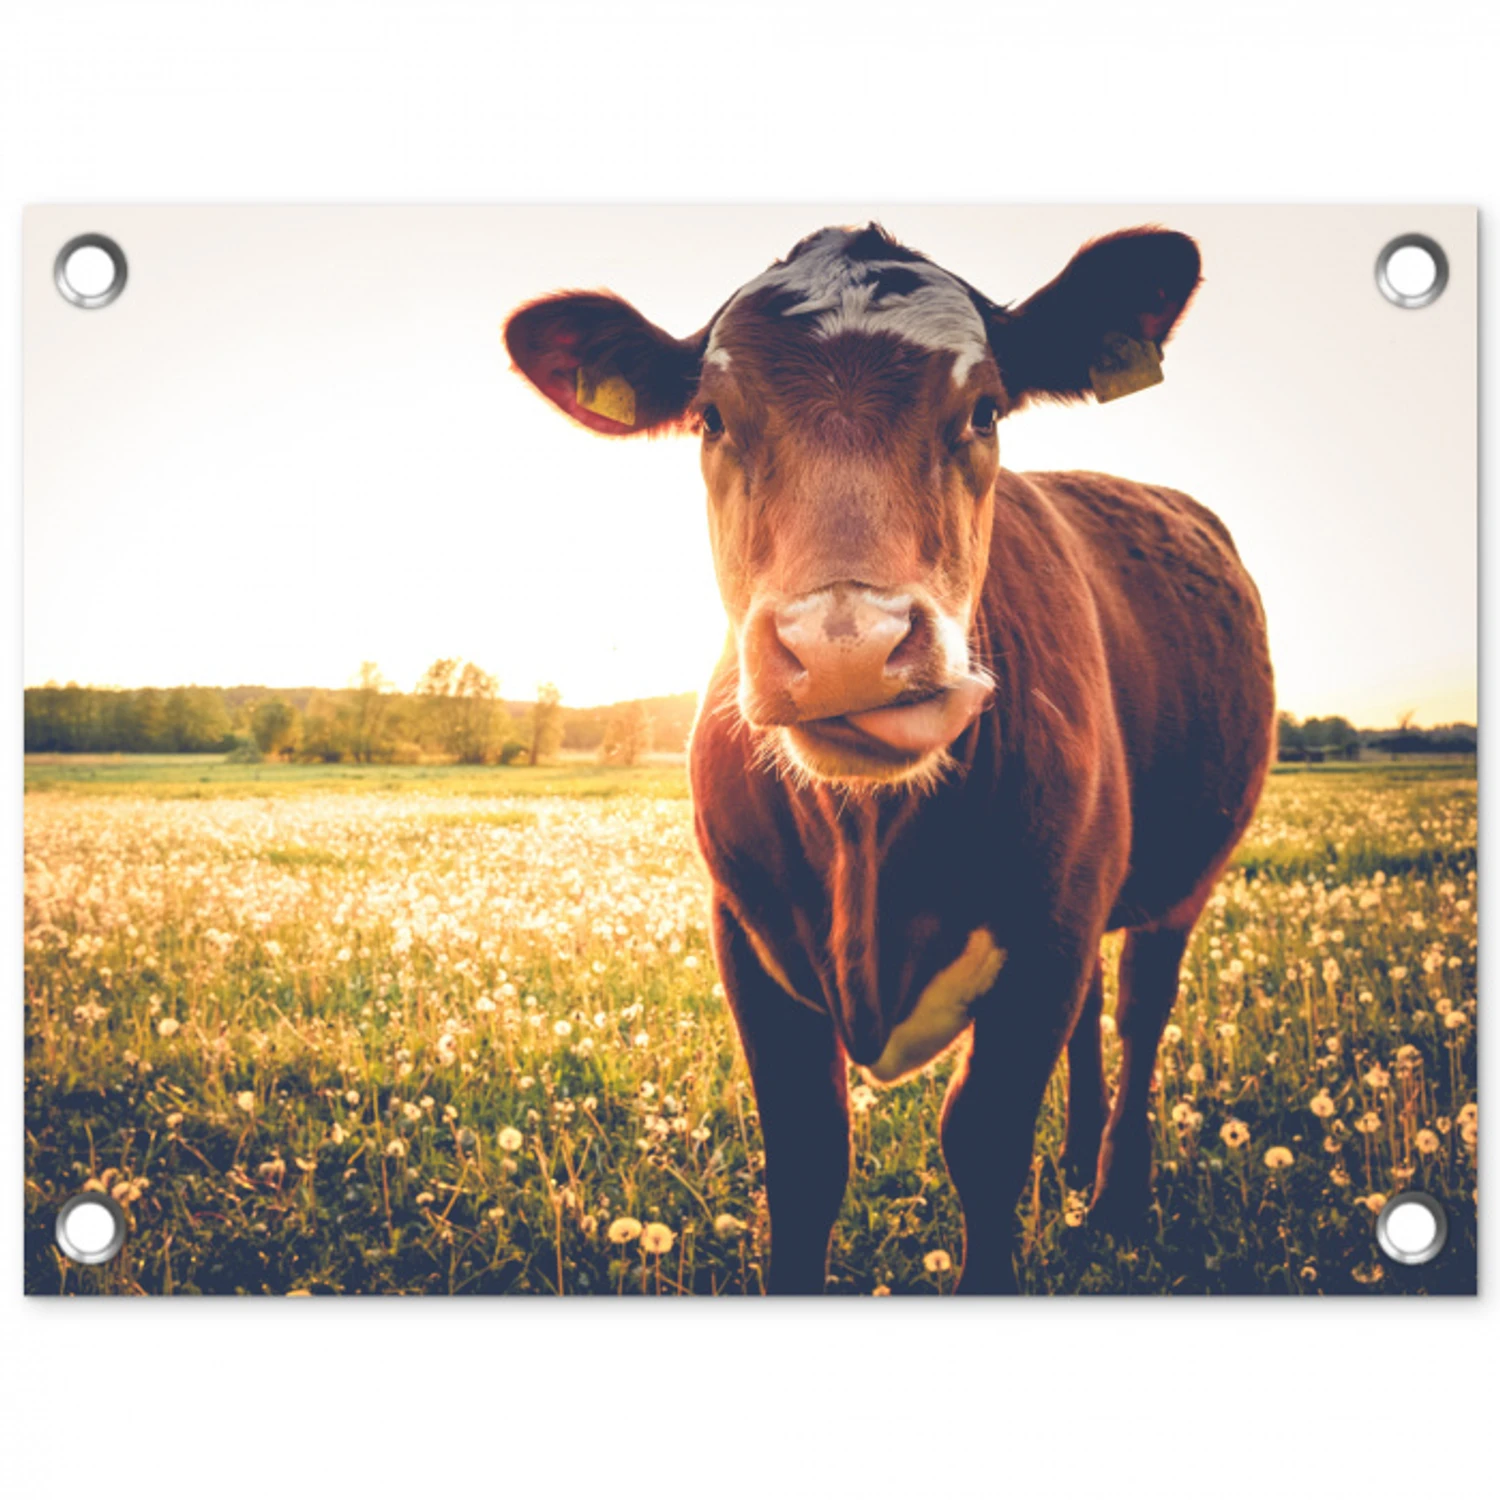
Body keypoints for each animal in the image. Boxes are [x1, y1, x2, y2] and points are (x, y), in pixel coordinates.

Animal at [504, 223, 1275, 1293]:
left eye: (985, 408)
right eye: (711, 418)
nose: (846, 646)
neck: (868, 841)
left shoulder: (1047, 937)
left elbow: (983, 1142)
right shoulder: (746, 938)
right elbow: (807, 1155)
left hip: (1177, 882)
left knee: (1139, 1011)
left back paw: (1115, 1196)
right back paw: (1077, 1161)